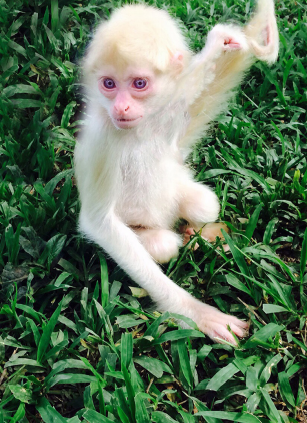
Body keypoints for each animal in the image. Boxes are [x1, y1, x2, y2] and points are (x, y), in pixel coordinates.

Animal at [74, 0, 280, 344]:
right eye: (109, 84)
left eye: (139, 84)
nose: (121, 108)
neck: (140, 129)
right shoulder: (102, 136)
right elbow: (98, 223)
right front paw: (198, 314)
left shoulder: (170, 109)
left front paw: (224, 41)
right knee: (163, 244)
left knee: (203, 204)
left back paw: (197, 234)